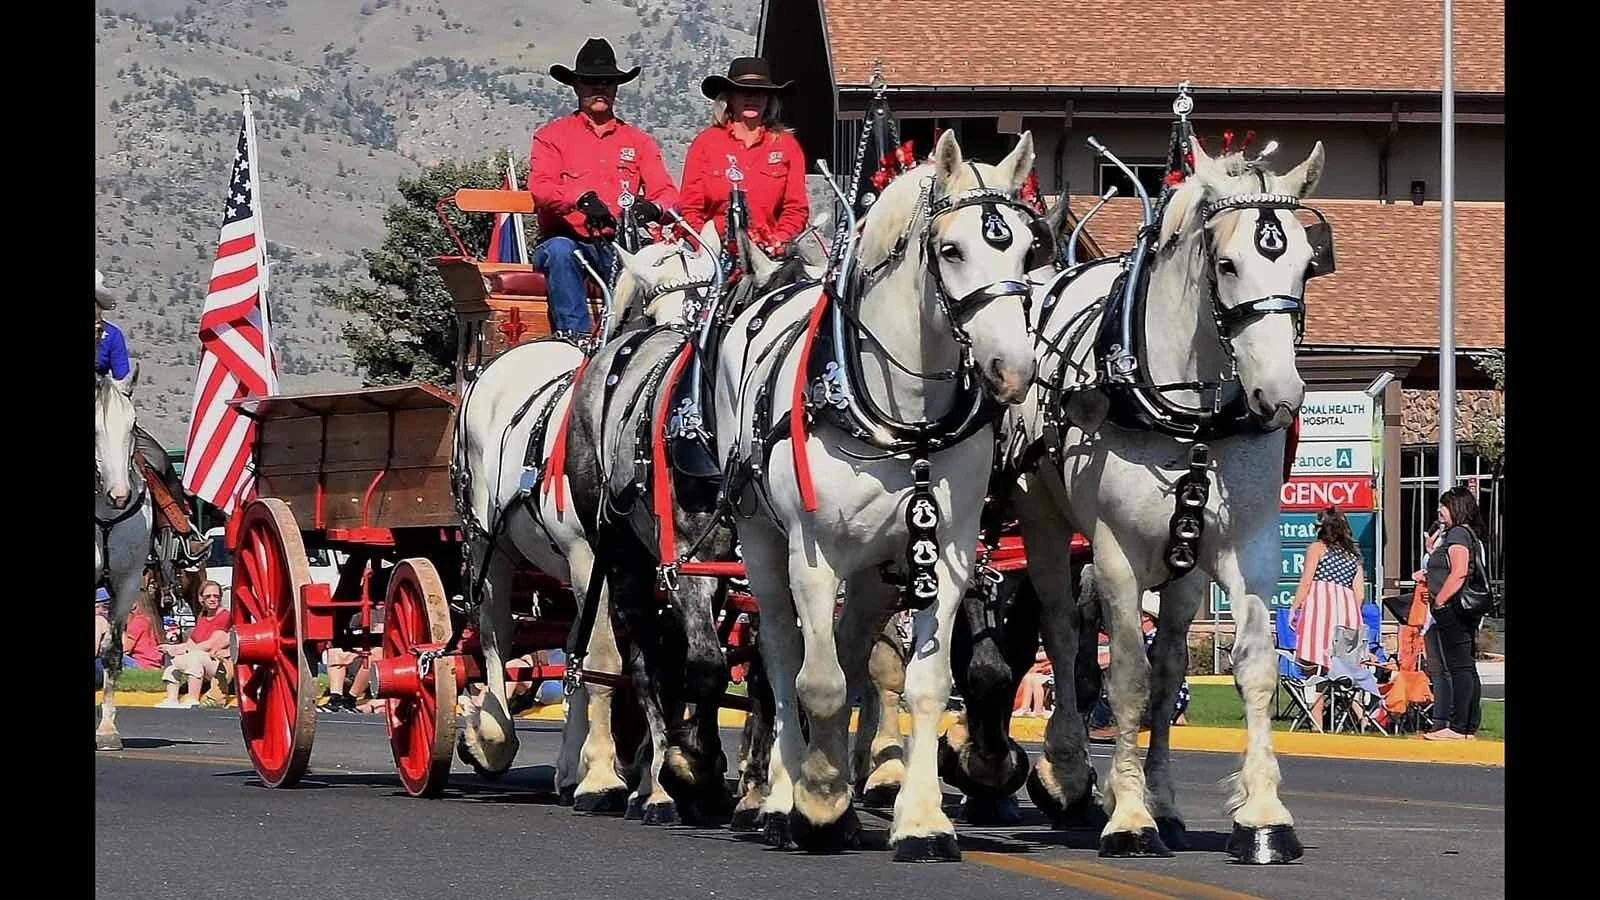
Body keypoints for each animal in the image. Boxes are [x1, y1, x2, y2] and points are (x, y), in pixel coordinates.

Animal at [711, 129, 1047, 860]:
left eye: (1025, 249)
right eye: (952, 250)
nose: (1012, 372)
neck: (904, 417)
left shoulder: (945, 553)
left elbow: (922, 684)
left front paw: (920, 818)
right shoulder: (812, 554)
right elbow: (819, 683)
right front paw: (819, 799)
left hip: (873, 567)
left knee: (852, 646)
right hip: (762, 543)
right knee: (782, 659)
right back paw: (780, 798)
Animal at [1005, 137, 1326, 862]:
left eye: (1304, 264)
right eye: (1227, 264)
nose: (1280, 396)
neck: (1195, 414)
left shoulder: (1247, 545)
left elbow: (1247, 668)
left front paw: (1263, 816)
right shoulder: (1116, 552)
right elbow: (1123, 675)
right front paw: (1127, 817)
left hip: (1183, 568)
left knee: (1171, 659)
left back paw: (1166, 801)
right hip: (1043, 524)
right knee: (1062, 632)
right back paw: (1069, 770)